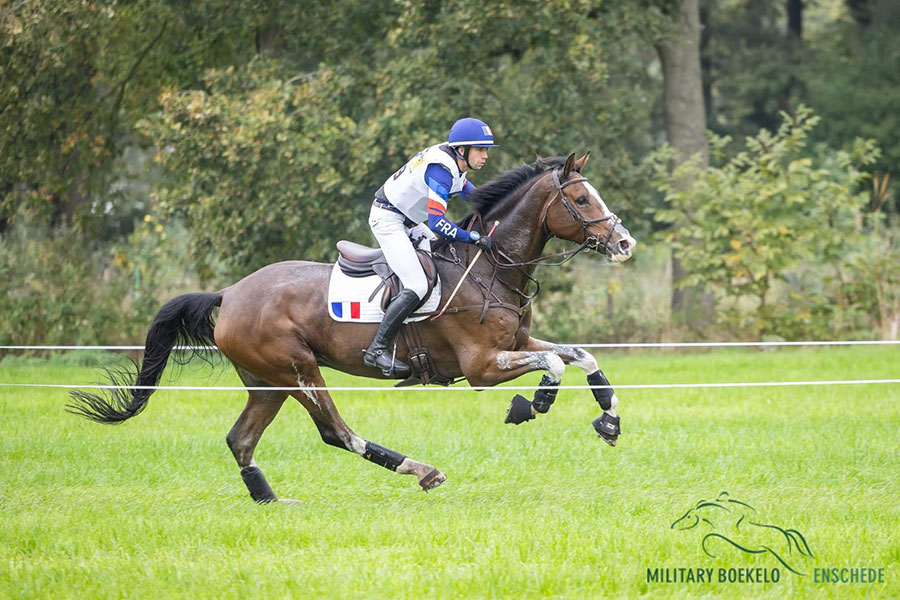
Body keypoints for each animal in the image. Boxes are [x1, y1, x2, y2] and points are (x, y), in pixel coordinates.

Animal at [68, 152, 636, 503]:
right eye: (581, 200)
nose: (625, 243)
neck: (491, 266)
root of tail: (230, 293)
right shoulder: (481, 368)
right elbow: (553, 363)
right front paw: (532, 403)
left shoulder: (515, 343)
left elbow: (578, 355)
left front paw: (608, 421)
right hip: (297, 371)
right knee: (334, 432)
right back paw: (420, 470)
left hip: (267, 382)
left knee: (241, 440)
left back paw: (270, 500)